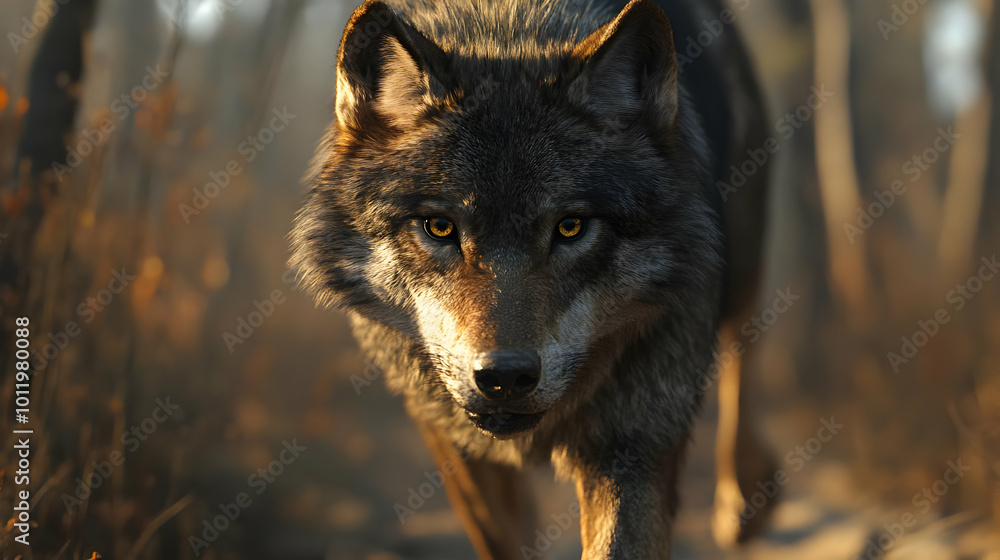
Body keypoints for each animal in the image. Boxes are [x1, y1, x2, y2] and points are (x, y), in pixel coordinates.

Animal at [290, 0, 772, 557]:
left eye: (570, 227)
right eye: (439, 227)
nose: (505, 377)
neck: (507, 27)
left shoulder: (635, 438)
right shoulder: (451, 437)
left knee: (744, 344)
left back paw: (747, 497)